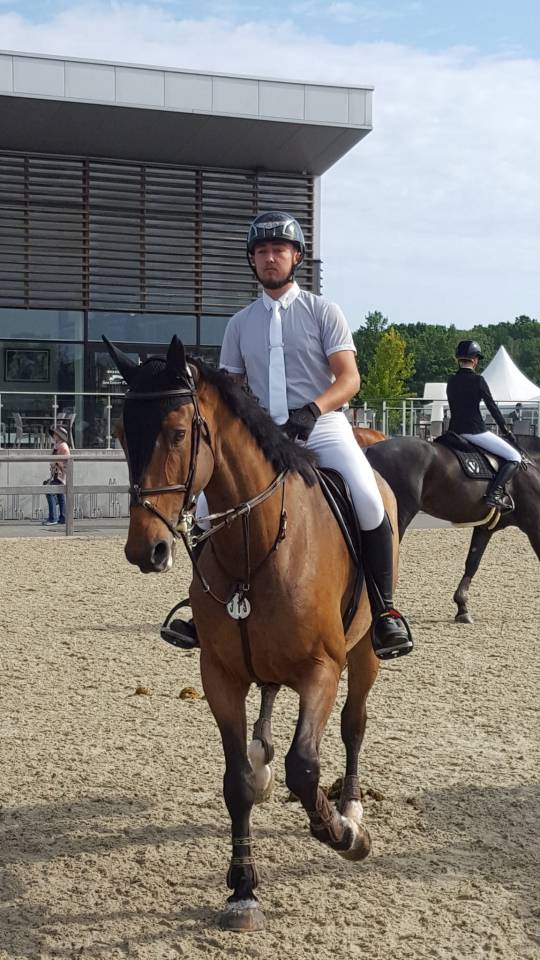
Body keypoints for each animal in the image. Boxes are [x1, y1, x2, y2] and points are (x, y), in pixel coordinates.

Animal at [105, 334, 403, 932]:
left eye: (178, 433)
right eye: (123, 433)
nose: (145, 549)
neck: (257, 542)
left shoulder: (321, 671)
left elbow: (304, 768)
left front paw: (343, 834)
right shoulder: (219, 675)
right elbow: (237, 780)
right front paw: (243, 888)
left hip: (363, 655)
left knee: (354, 725)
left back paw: (351, 806)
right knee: (267, 703)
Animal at [363, 435, 540, 622]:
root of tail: (369, 450)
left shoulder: (485, 528)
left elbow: (472, 562)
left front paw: (462, 608)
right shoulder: (534, 527)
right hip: (400, 516)